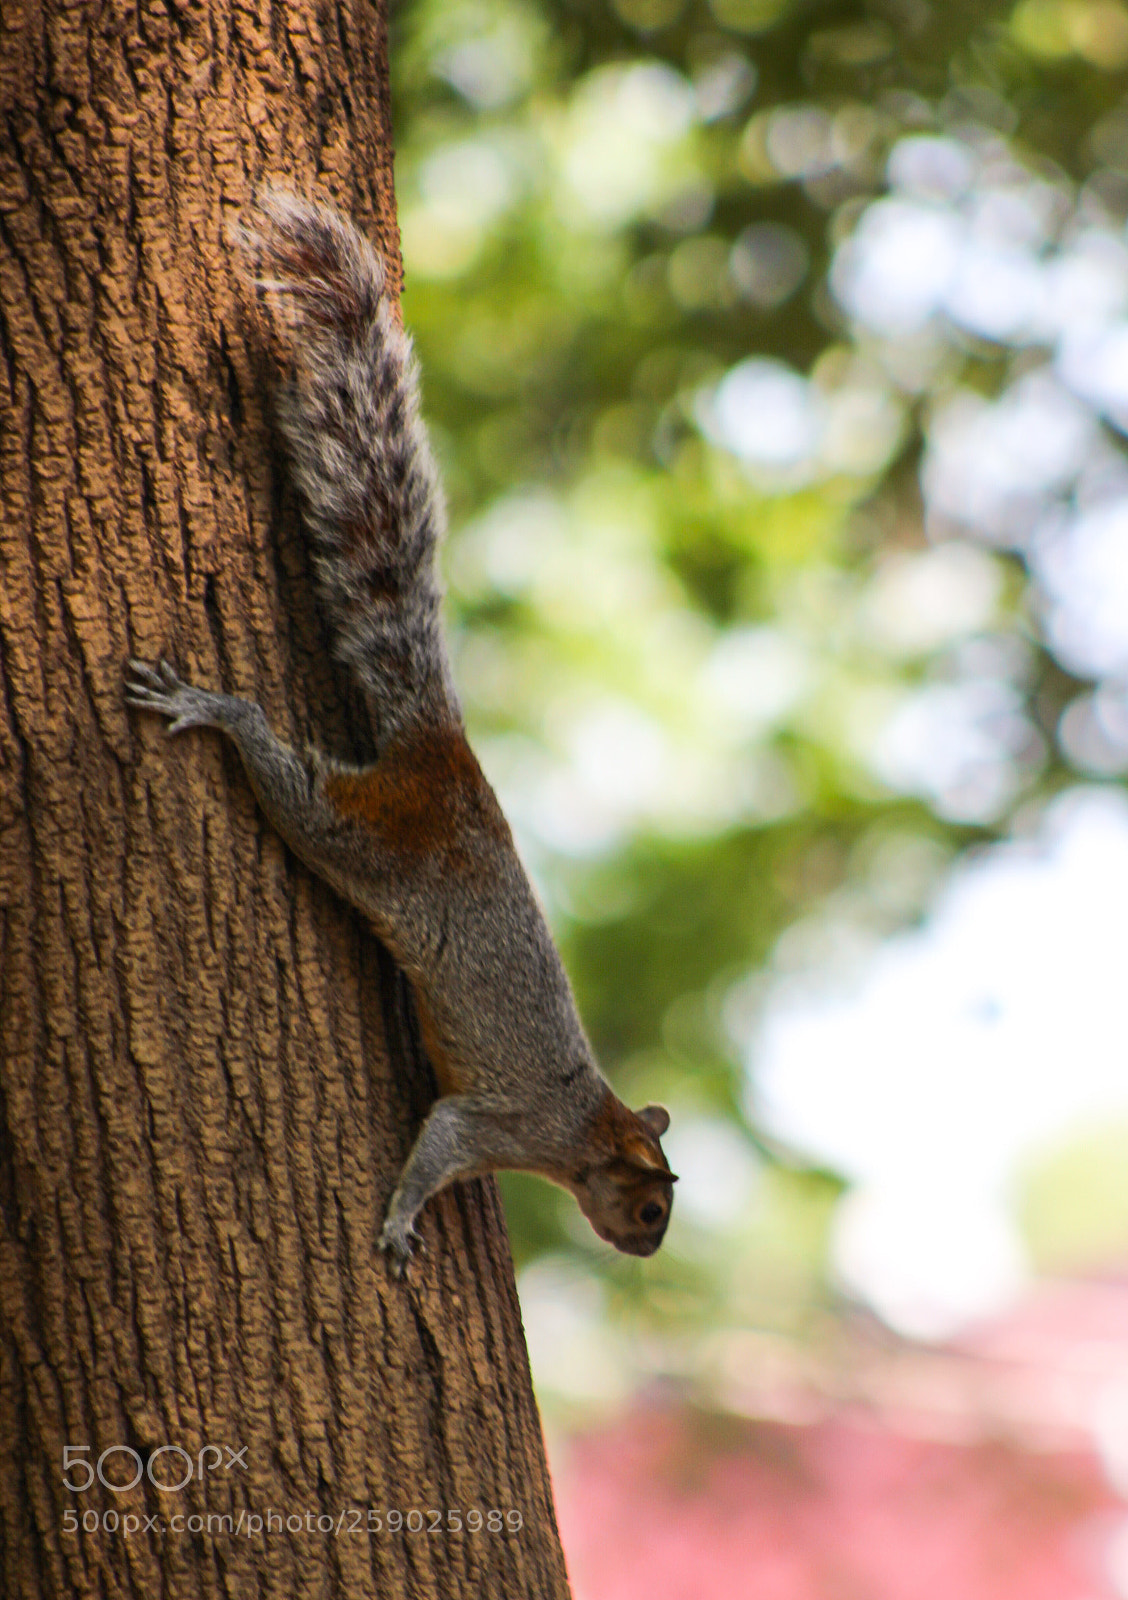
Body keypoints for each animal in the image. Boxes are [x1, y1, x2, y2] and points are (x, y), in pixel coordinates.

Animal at [126, 190, 676, 1270]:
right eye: (649, 1207)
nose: (648, 1251)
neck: (581, 1128)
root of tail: (442, 754)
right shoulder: (495, 1120)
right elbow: (440, 1145)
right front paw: (398, 1221)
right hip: (362, 833)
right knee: (284, 773)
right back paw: (211, 708)